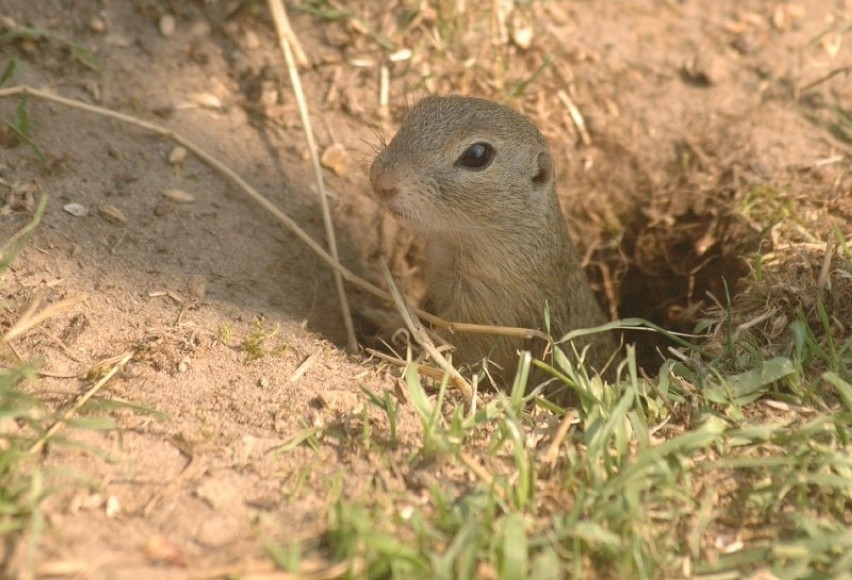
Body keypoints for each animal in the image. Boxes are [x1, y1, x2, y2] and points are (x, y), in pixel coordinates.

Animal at [370, 95, 616, 394]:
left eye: (477, 155)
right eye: (416, 112)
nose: (380, 179)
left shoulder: (492, 314)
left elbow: (462, 349)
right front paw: (386, 319)